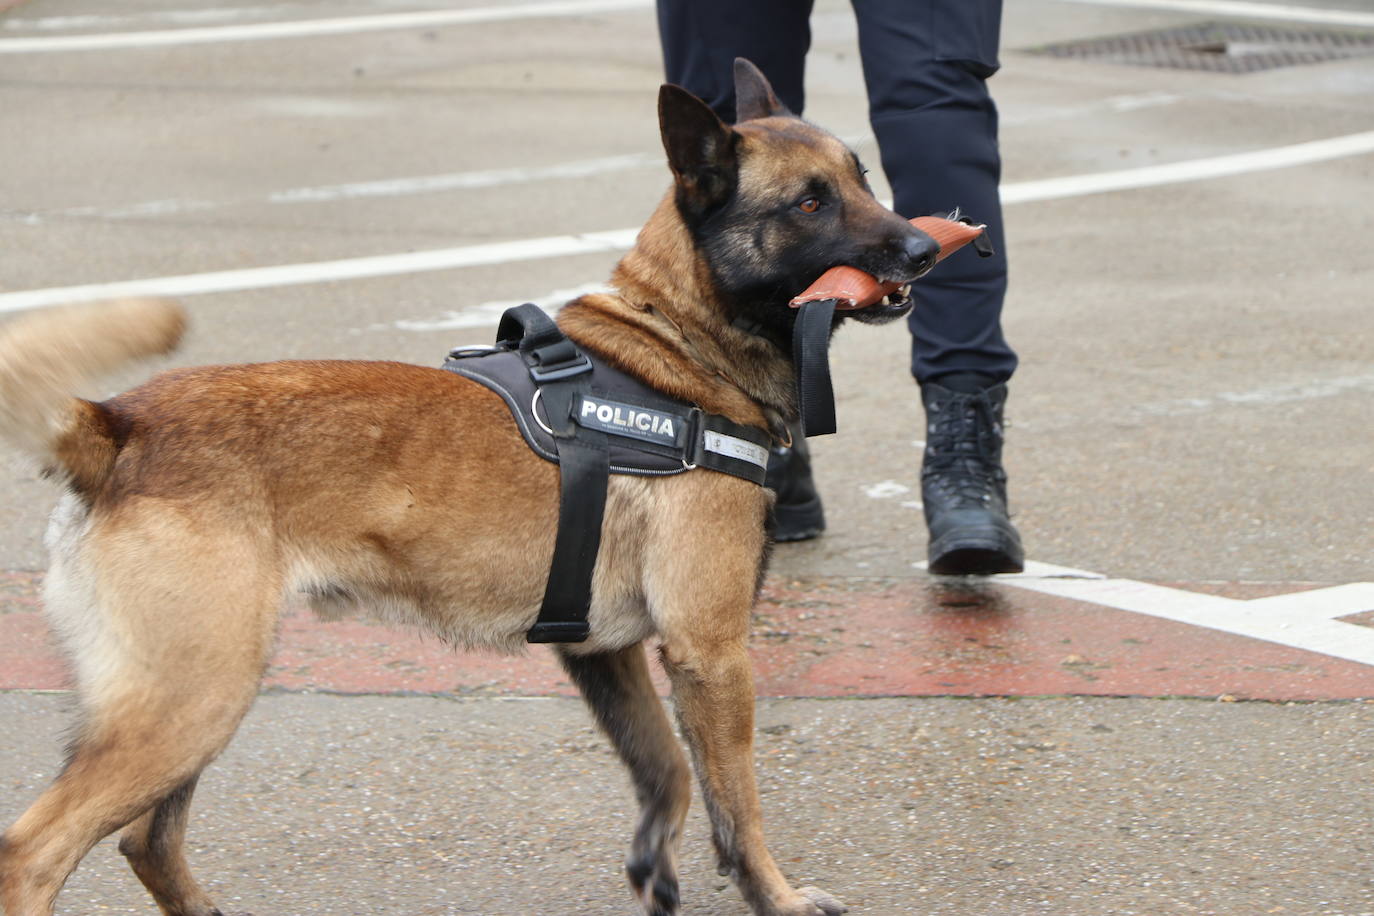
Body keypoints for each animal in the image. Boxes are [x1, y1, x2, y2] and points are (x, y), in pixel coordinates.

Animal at [0, 60, 939, 911]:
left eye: (863, 179)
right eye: (809, 203)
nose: (927, 248)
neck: (676, 351)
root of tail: (116, 424)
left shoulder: (603, 650)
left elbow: (667, 769)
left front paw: (656, 864)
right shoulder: (710, 653)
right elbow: (738, 807)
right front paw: (776, 898)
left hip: (190, 704)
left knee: (148, 840)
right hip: (193, 700)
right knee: (36, 853)